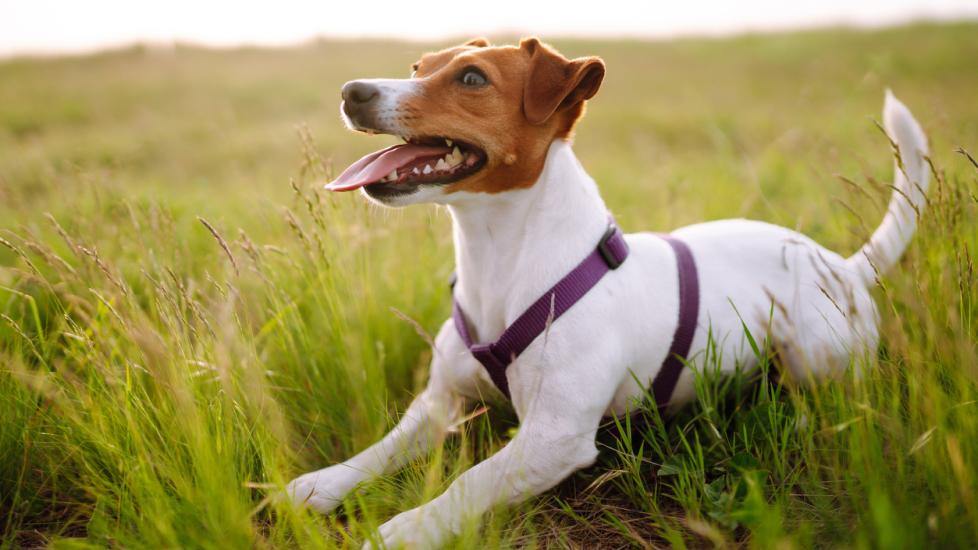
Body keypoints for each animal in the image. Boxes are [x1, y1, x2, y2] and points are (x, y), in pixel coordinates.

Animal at [286, 36, 928, 548]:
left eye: (471, 78)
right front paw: (325, 482)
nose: (351, 91)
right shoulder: (442, 400)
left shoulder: (554, 438)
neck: (500, 259)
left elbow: (470, 481)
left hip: (814, 353)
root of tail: (843, 265)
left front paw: (406, 528)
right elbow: (383, 447)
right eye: (418, 66)